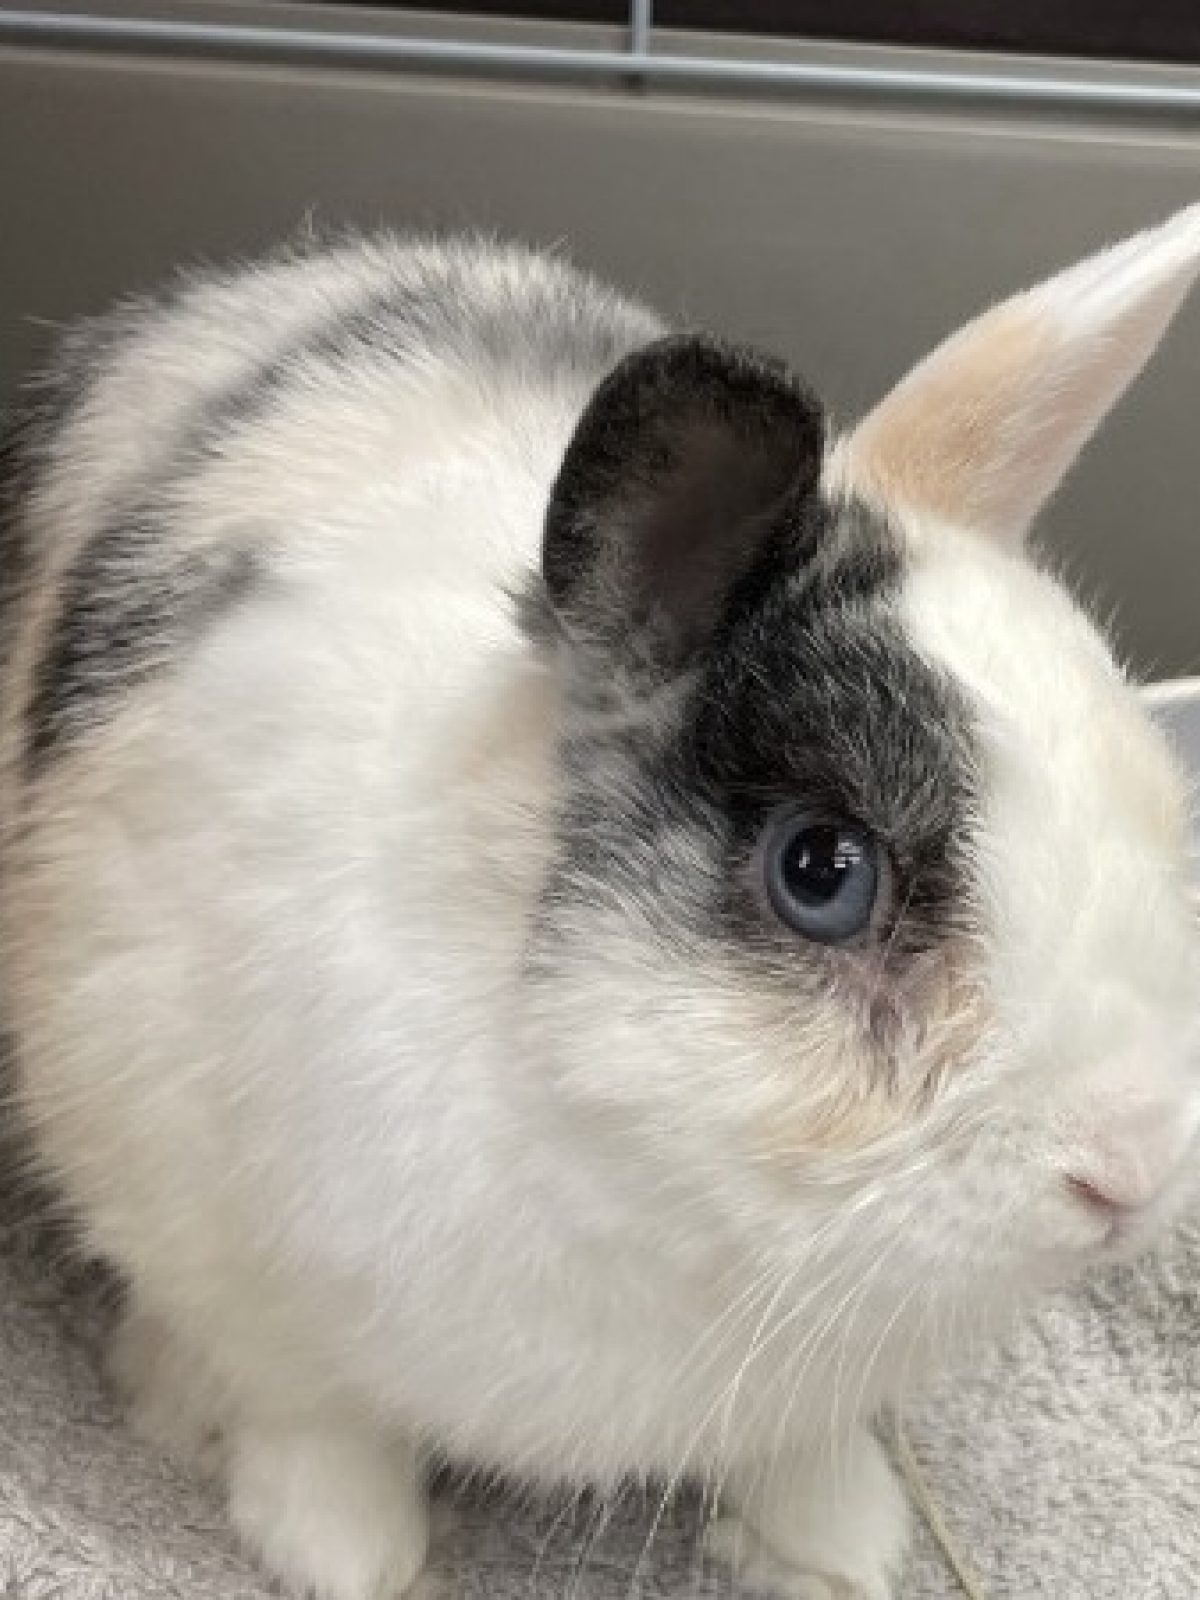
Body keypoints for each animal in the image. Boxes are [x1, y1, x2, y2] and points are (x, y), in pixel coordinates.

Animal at [1, 203, 1199, 1600]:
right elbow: (312, 1425)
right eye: (823, 871)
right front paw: (348, 1558)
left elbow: (805, 1451)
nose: (1131, 1171)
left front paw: (838, 1546)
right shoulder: (201, 1231)